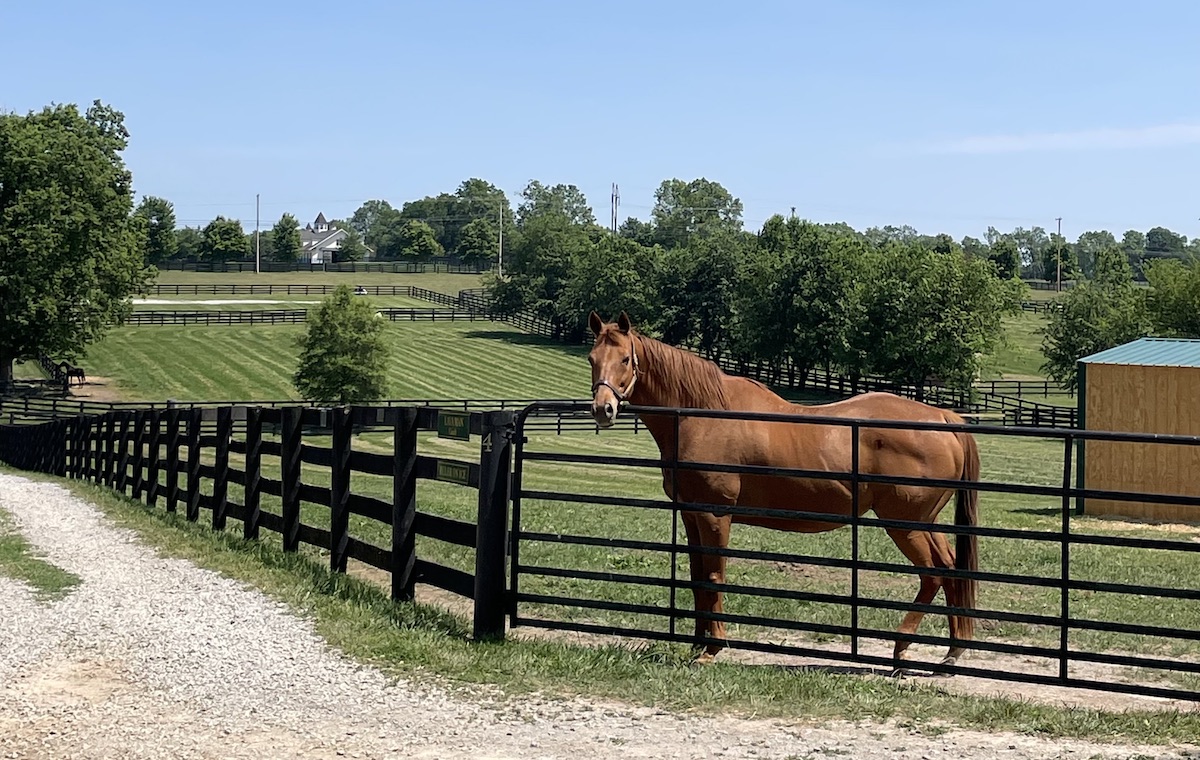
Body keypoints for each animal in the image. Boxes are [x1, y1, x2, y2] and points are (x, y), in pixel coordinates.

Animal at [585, 312, 979, 667]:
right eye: (592, 358)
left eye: (625, 359)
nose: (603, 409)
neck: (703, 415)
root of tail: (944, 418)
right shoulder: (691, 513)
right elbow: (698, 578)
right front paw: (697, 643)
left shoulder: (715, 515)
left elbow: (714, 577)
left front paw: (712, 649)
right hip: (926, 522)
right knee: (950, 567)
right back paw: (952, 652)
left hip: (905, 523)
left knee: (932, 573)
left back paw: (901, 650)